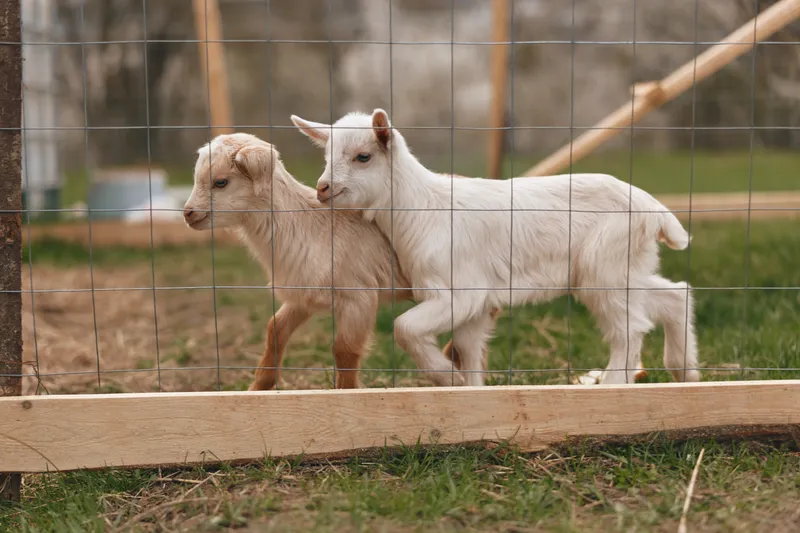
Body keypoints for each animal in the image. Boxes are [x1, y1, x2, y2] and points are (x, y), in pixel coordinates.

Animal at [184, 133, 495, 390]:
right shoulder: (303, 296)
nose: (188, 214)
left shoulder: (359, 297)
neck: (305, 225)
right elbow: (275, 330)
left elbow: (344, 350)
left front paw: (347, 394)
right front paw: (257, 389)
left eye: (221, 182)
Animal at [292, 109, 699, 387]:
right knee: (674, 295)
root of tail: (654, 209)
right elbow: (469, 349)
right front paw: (468, 390)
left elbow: (404, 327)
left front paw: (446, 377)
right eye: (326, 156)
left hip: (605, 268)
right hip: (626, 266)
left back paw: (613, 384)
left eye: (363, 157)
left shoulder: (460, 292)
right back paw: (685, 371)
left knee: (630, 327)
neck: (424, 208)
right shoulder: (475, 305)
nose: (323, 188)